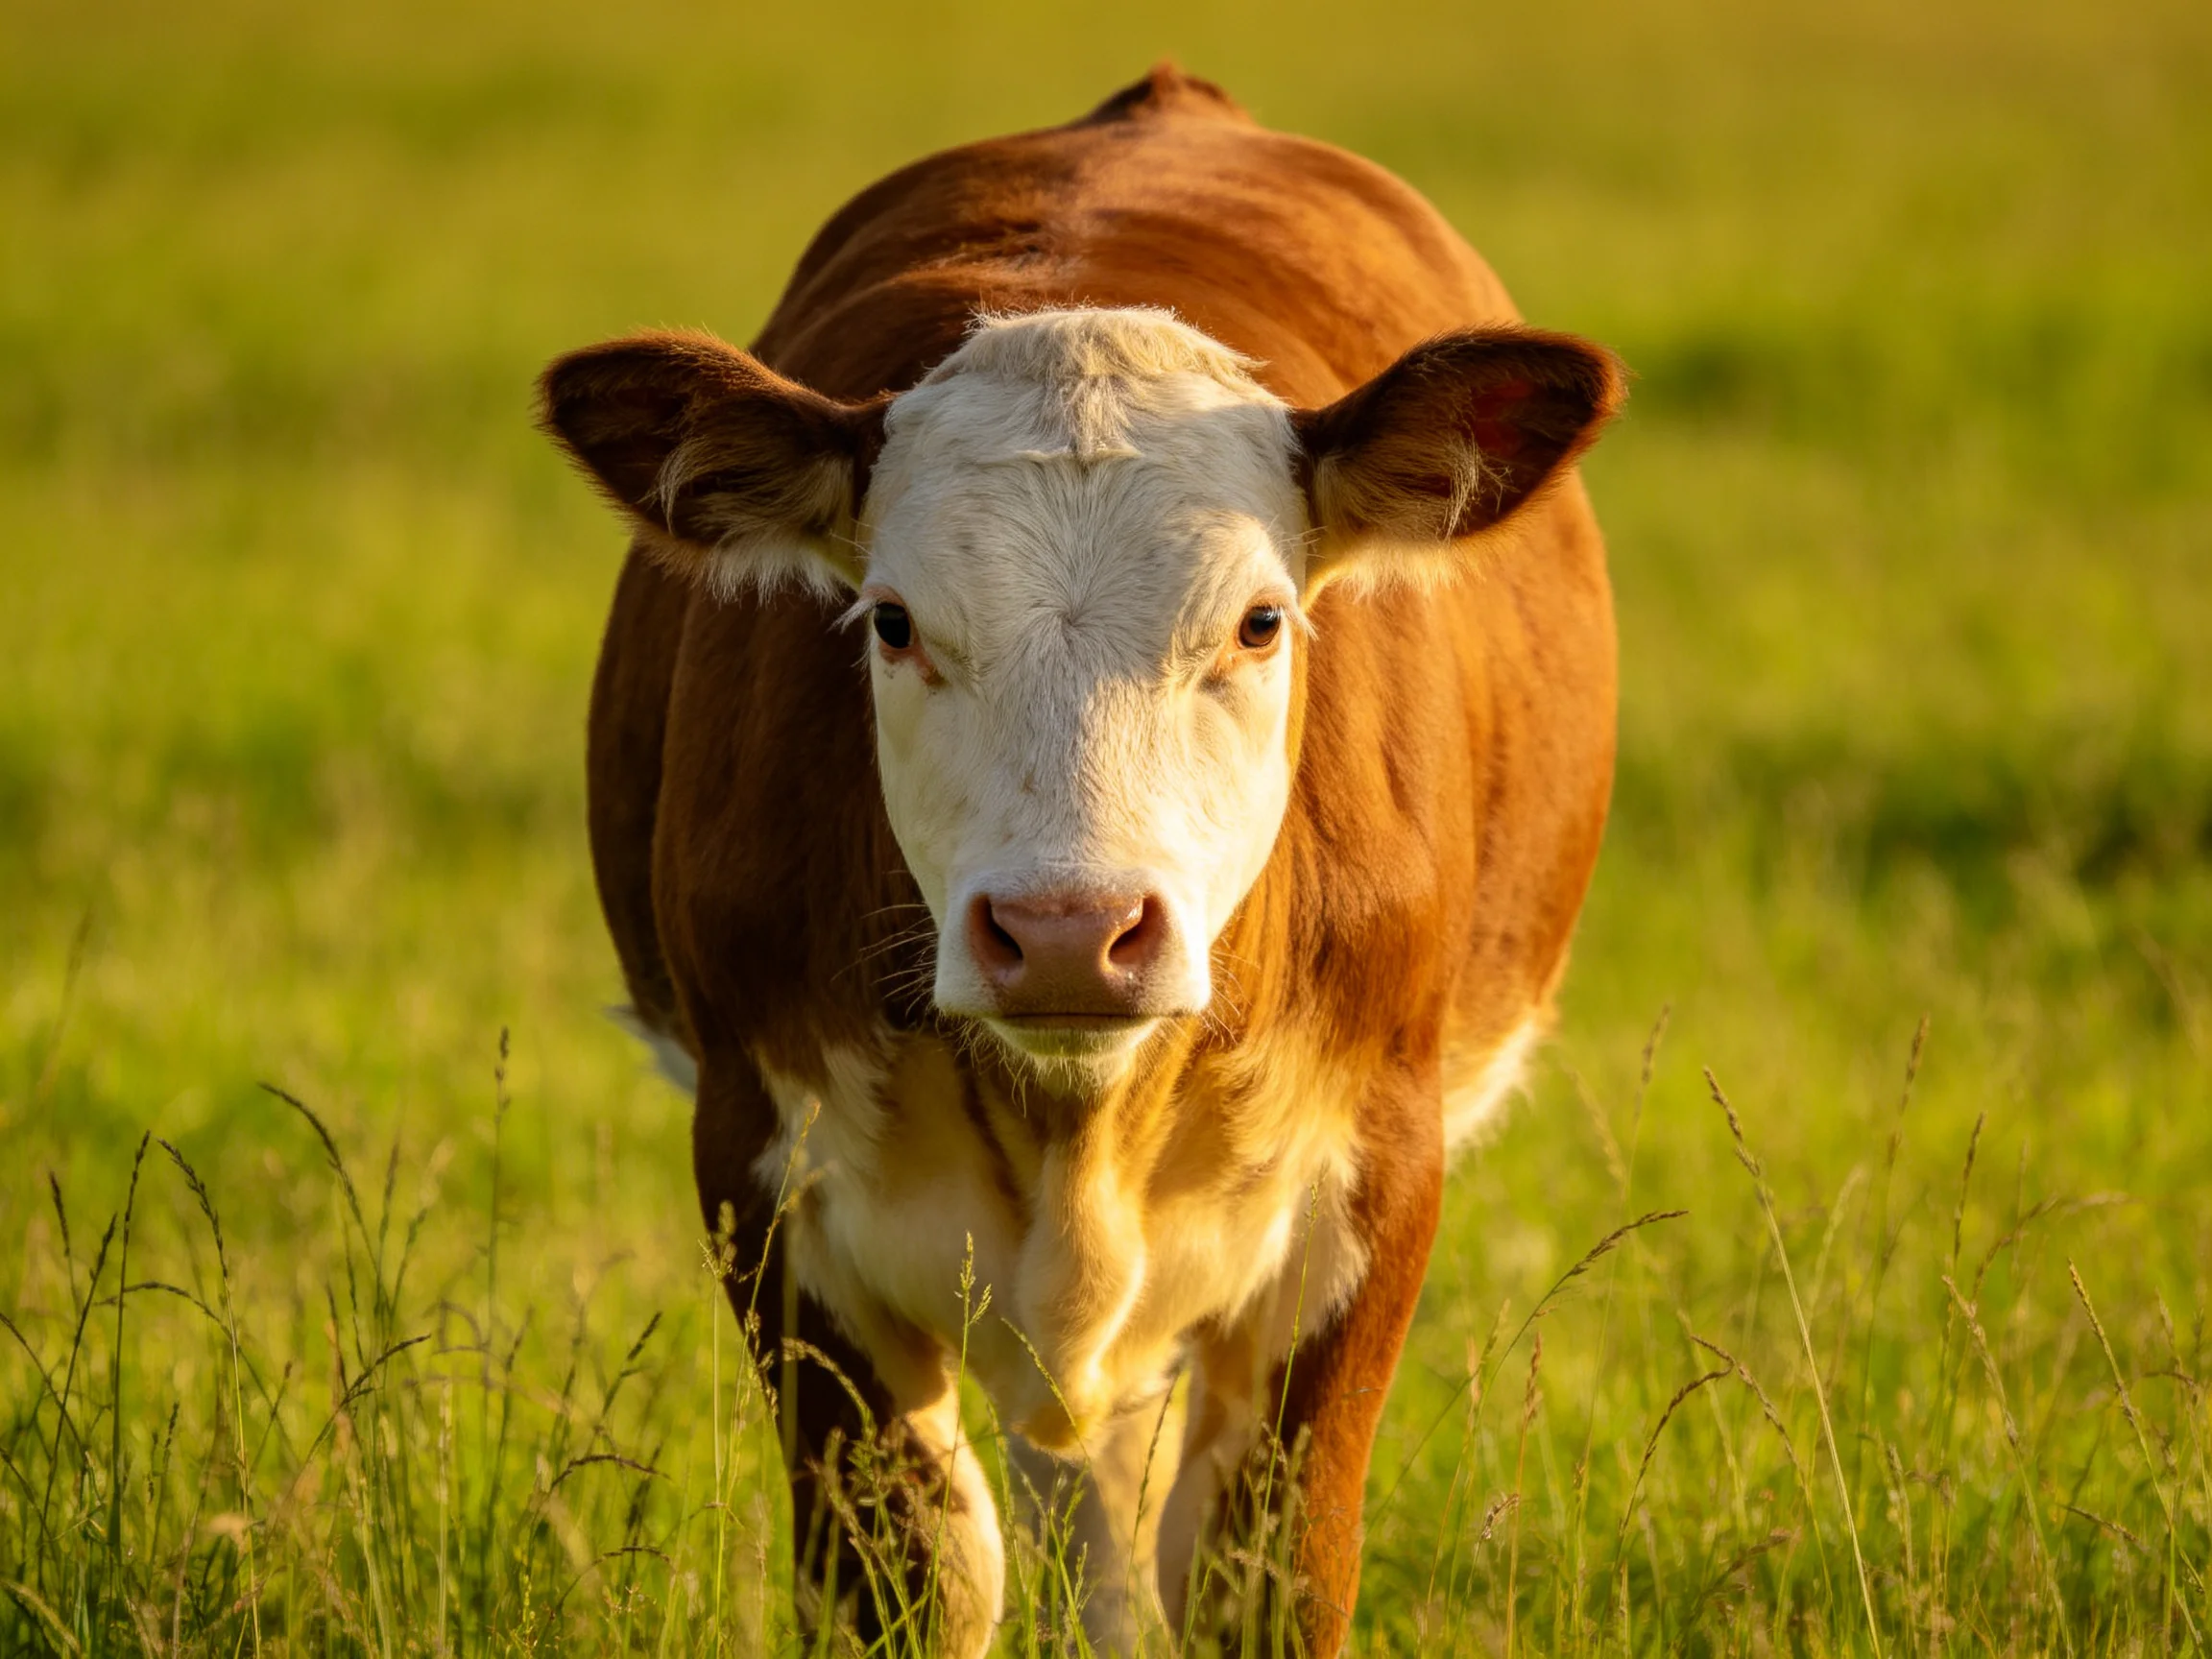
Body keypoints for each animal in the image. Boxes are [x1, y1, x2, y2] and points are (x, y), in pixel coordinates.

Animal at [541, 65, 1622, 1656]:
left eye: (1259, 621)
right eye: (892, 621)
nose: (1067, 930)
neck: (1073, 1120)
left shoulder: (1372, 1182)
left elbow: (1262, 1580)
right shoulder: (765, 1172)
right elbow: (916, 1576)